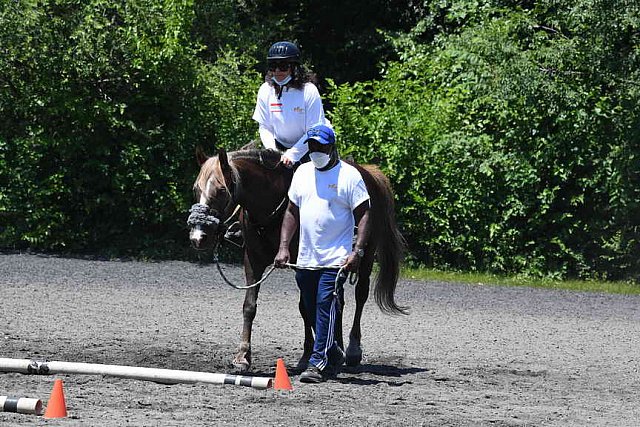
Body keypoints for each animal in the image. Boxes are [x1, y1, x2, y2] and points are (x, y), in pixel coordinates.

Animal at [189, 149, 404, 372]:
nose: (198, 237)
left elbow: (305, 307)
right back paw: (338, 347)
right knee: (338, 300)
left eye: (221, 190)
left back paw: (352, 350)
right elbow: (249, 306)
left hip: (366, 255)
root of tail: (370, 174)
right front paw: (242, 356)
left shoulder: (303, 264)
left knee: (360, 295)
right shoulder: (252, 260)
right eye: (196, 188)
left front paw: (308, 355)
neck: (270, 207)